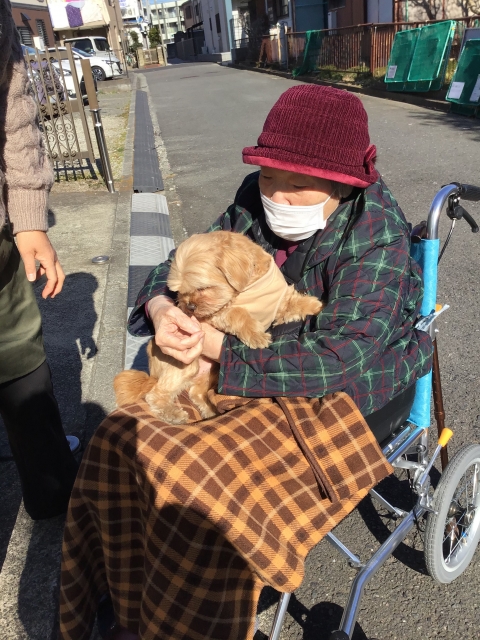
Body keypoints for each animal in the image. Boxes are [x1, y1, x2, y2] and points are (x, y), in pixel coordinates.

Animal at [114, 231, 323, 424]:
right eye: (180, 292)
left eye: (201, 288)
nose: (188, 306)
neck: (251, 287)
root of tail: (153, 373)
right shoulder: (215, 314)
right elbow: (238, 314)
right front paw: (256, 335)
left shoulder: (277, 304)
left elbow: (293, 302)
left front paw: (314, 305)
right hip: (184, 364)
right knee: (156, 393)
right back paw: (173, 413)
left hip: (210, 371)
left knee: (196, 392)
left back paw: (210, 411)